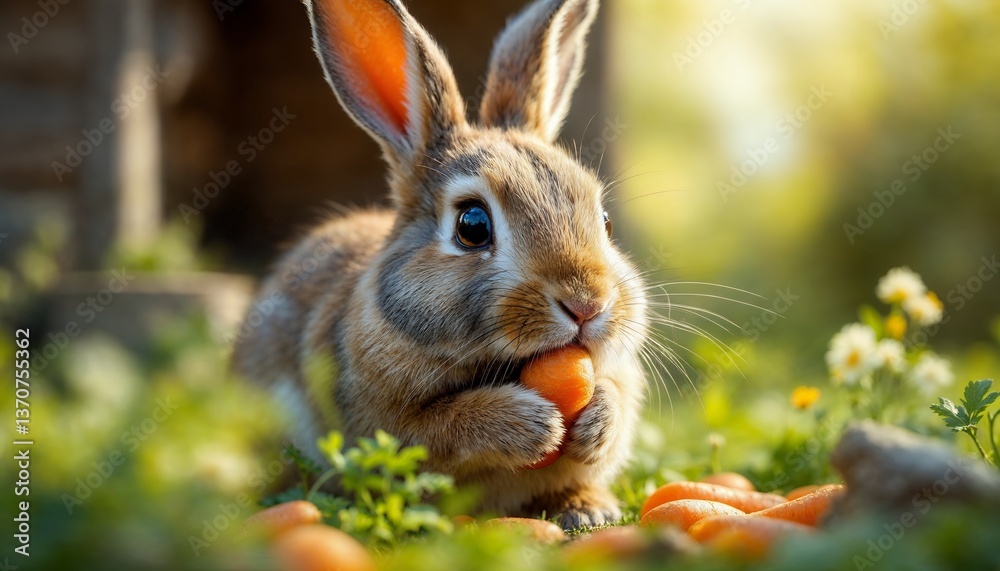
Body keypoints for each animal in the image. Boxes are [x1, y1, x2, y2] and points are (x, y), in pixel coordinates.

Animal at [232, 0, 649, 529]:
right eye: (472, 225)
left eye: (606, 222)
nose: (586, 304)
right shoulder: (389, 426)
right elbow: (442, 428)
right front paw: (532, 424)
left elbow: (615, 399)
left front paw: (597, 422)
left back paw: (587, 510)